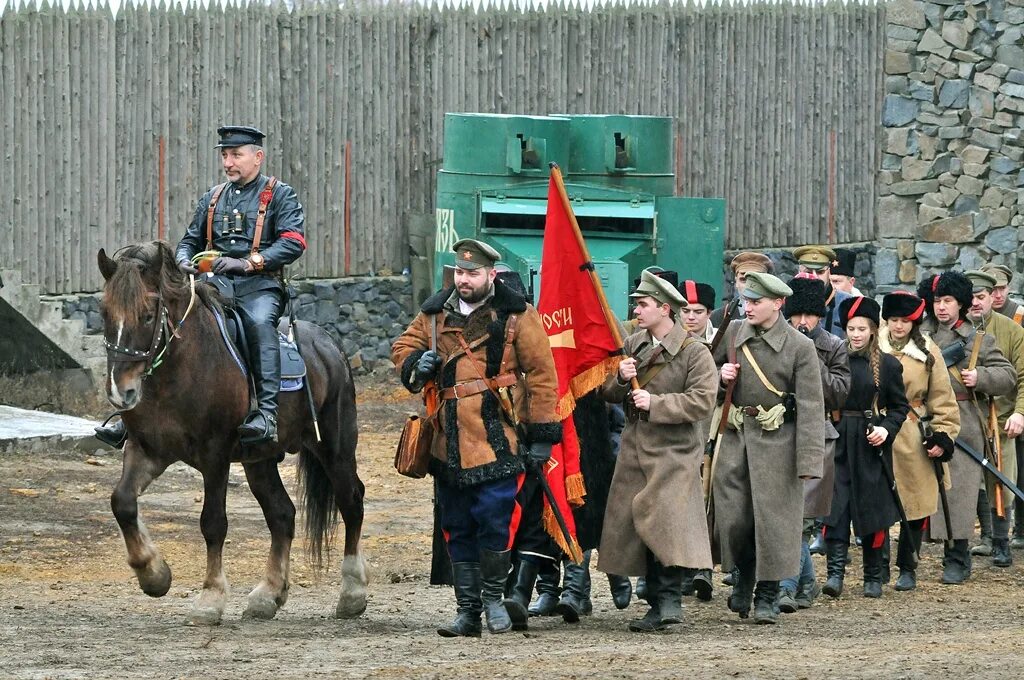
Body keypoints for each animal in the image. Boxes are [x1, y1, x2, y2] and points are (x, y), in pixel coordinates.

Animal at [96, 240, 368, 626]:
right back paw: (268, 595)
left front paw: (210, 598)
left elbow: (213, 523)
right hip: (260, 460)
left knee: (351, 502)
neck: (177, 371)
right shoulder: (146, 449)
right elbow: (122, 502)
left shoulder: (215, 456)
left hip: (335, 447)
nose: (122, 392)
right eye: (105, 314)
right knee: (282, 514)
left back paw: (352, 593)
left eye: (148, 315)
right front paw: (154, 575)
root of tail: (329, 345)